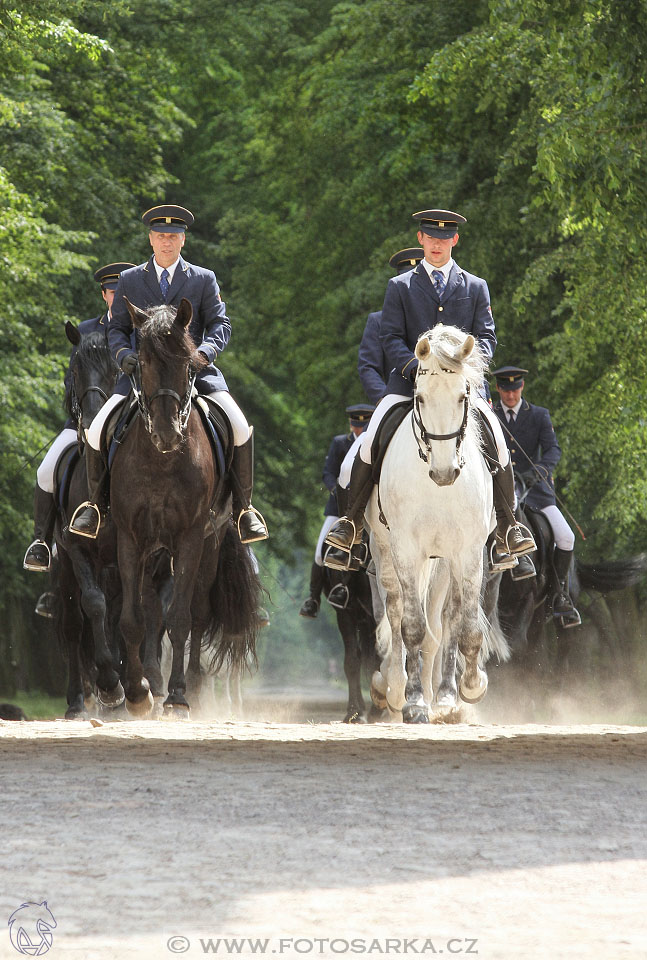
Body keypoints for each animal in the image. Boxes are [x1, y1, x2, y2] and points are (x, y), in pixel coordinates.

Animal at [110, 298, 260, 712]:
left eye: (189, 364)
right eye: (142, 361)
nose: (167, 434)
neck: (160, 460)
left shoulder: (191, 537)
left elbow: (181, 618)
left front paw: (177, 696)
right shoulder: (130, 538)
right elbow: (132, 618)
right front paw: (137, 693)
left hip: (210, 542)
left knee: (197, 612)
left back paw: (191, 684)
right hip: (156, 551)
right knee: (151, 609)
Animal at [368, 322, 508, 720]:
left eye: (463, 397)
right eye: (419, 399)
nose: (445, 473)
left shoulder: (468, 552)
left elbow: (465, 627)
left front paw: (467, 690)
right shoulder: (406, 549)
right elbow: (412, 627)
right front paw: (414, 701)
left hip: (446, 562)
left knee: (446, 621)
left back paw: (443, 697)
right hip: (386, 553)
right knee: (396, 611)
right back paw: (394, 688)